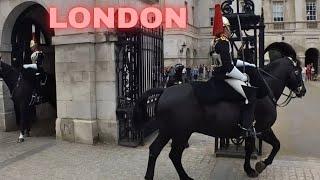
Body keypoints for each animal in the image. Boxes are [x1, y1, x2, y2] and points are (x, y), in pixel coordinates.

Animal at [135, 57, 304, 179]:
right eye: (297, 72)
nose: (303, 91)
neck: (265, 90)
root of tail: (165, 91)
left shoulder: (255, 131)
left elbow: (251, 148)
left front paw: (249, 168)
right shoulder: (262, 128)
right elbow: (275, 145)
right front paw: (260, 165)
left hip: (172, 131)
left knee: (161, 152)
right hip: (178, 132)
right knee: (170, 154)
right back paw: (181, 177)